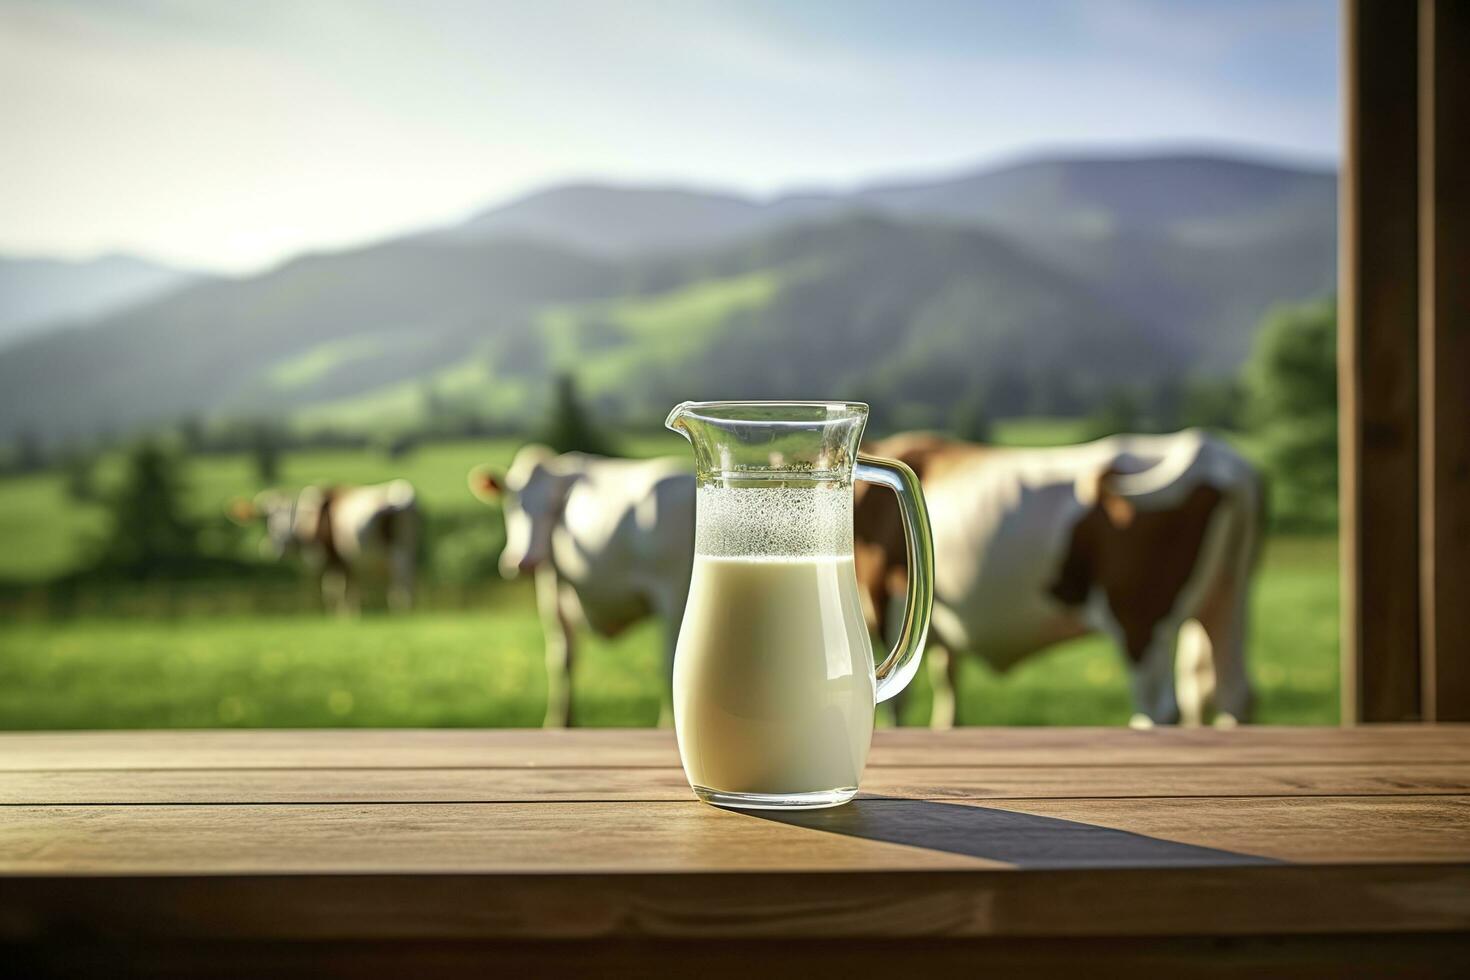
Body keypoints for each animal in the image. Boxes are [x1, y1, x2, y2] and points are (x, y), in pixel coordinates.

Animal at [235, 481, 420, 614]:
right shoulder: (346, 560)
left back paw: (401, 608)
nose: (275, 549)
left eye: (291, 519)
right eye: (267, 520)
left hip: (398, 550)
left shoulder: (331, 557)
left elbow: (334, 587)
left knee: (402, 575)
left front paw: (344, 614)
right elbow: (346, 585)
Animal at [473, 443, 696, 728]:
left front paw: (559, 723)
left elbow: (561, 658)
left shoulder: (552, 583)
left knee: (671, 665)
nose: (523, 562)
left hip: (673, 596)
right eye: (513, 504)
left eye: (551, 507)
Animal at [858, 429, 1270, 728]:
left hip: (1140, 616)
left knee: (1159, 708)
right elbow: (948, 685)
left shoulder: (889, 599)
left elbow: (898, 697)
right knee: (1231, 691)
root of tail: (1214, 452)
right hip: (1226, 599)